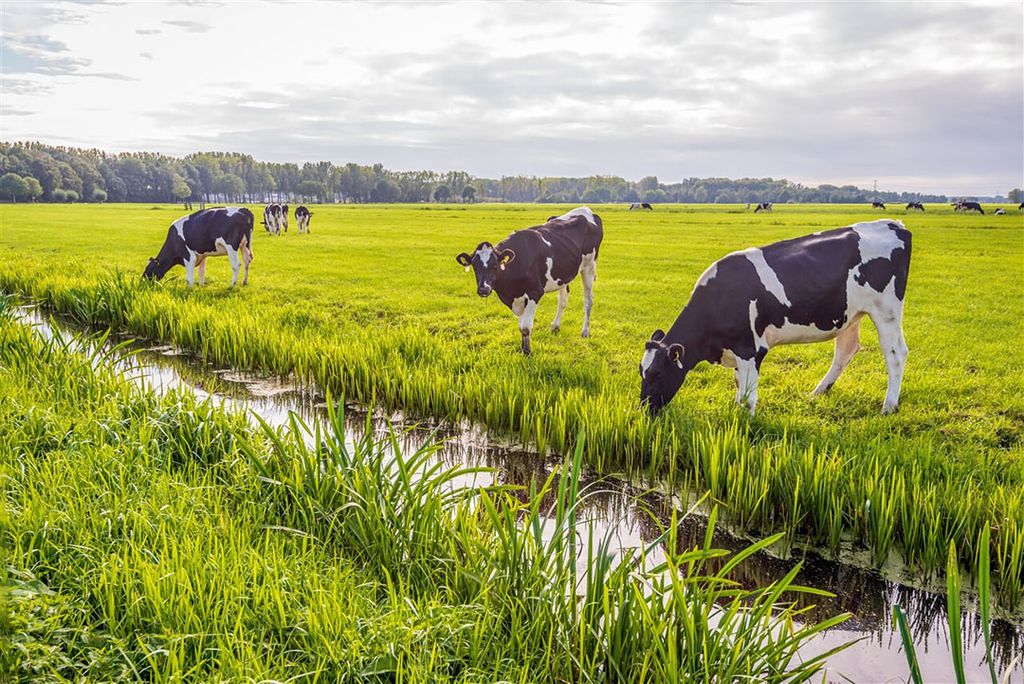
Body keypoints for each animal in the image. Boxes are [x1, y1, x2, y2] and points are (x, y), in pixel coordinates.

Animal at [454, 205, 602, 356]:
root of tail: (585, 209)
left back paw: (585, 331)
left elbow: (525, 327)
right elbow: (521, 326)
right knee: (563, 299)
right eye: (474, 266)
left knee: (588, 300)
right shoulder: (516, 298)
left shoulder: (535, 292)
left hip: (589, 267)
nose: (484, 289)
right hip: (563, 274)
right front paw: (523, 348)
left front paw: (527, 352)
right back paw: (555, 326)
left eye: (495, 265)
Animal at [638, 218, 913, 417]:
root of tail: (893, 224)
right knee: (845, 351)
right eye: (642, 372)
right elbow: (739, 383)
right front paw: (736, 409)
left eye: (657, 374)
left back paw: (888, 407)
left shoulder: (750, 348)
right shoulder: (738, 351)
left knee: (896, 354)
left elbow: (749, 394)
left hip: (886, 311)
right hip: (850, 315)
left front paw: (744, 421)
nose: (644, 410)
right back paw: (817, 393)